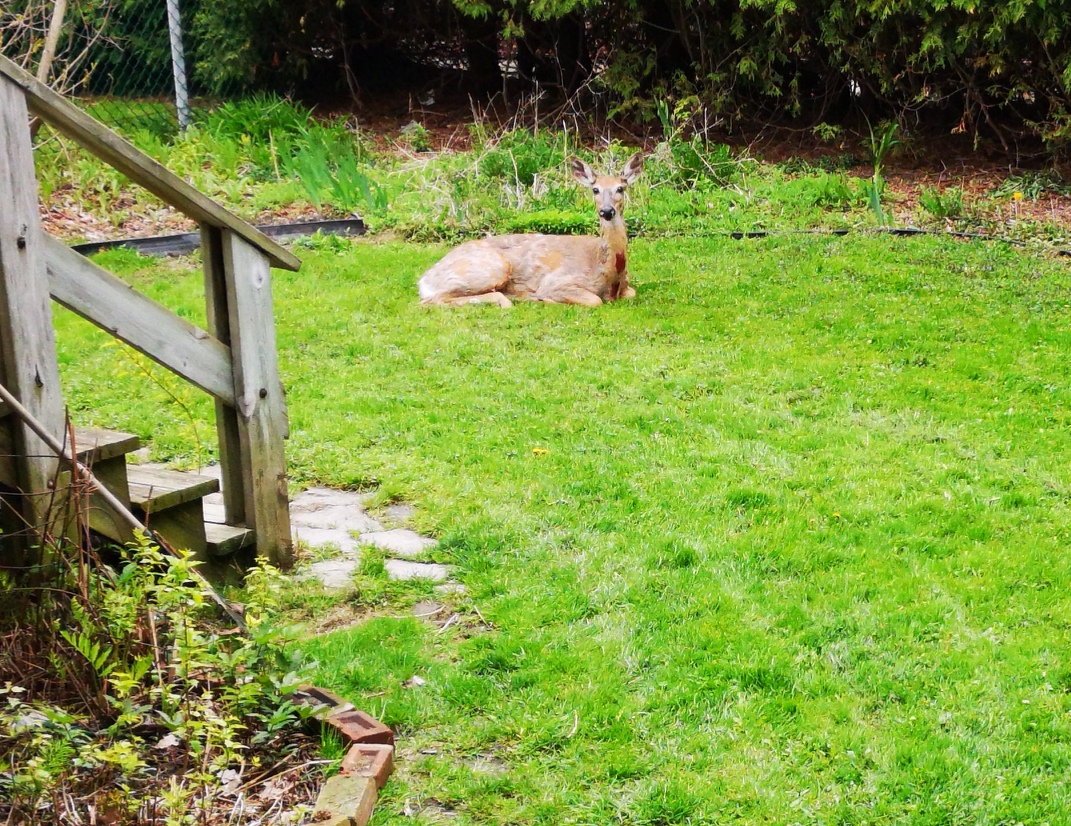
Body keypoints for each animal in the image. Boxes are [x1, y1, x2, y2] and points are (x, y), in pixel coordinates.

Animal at [418, 153, 644, 307]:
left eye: (620, 188)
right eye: (595, 190)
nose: (607, 211)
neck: (608, 273)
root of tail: (424, 280)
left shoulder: (626, 287)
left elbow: (630, 294)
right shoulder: (558, 281)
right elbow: (594, 300)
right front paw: (545, 298)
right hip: (491, 268)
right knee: (432, 300)